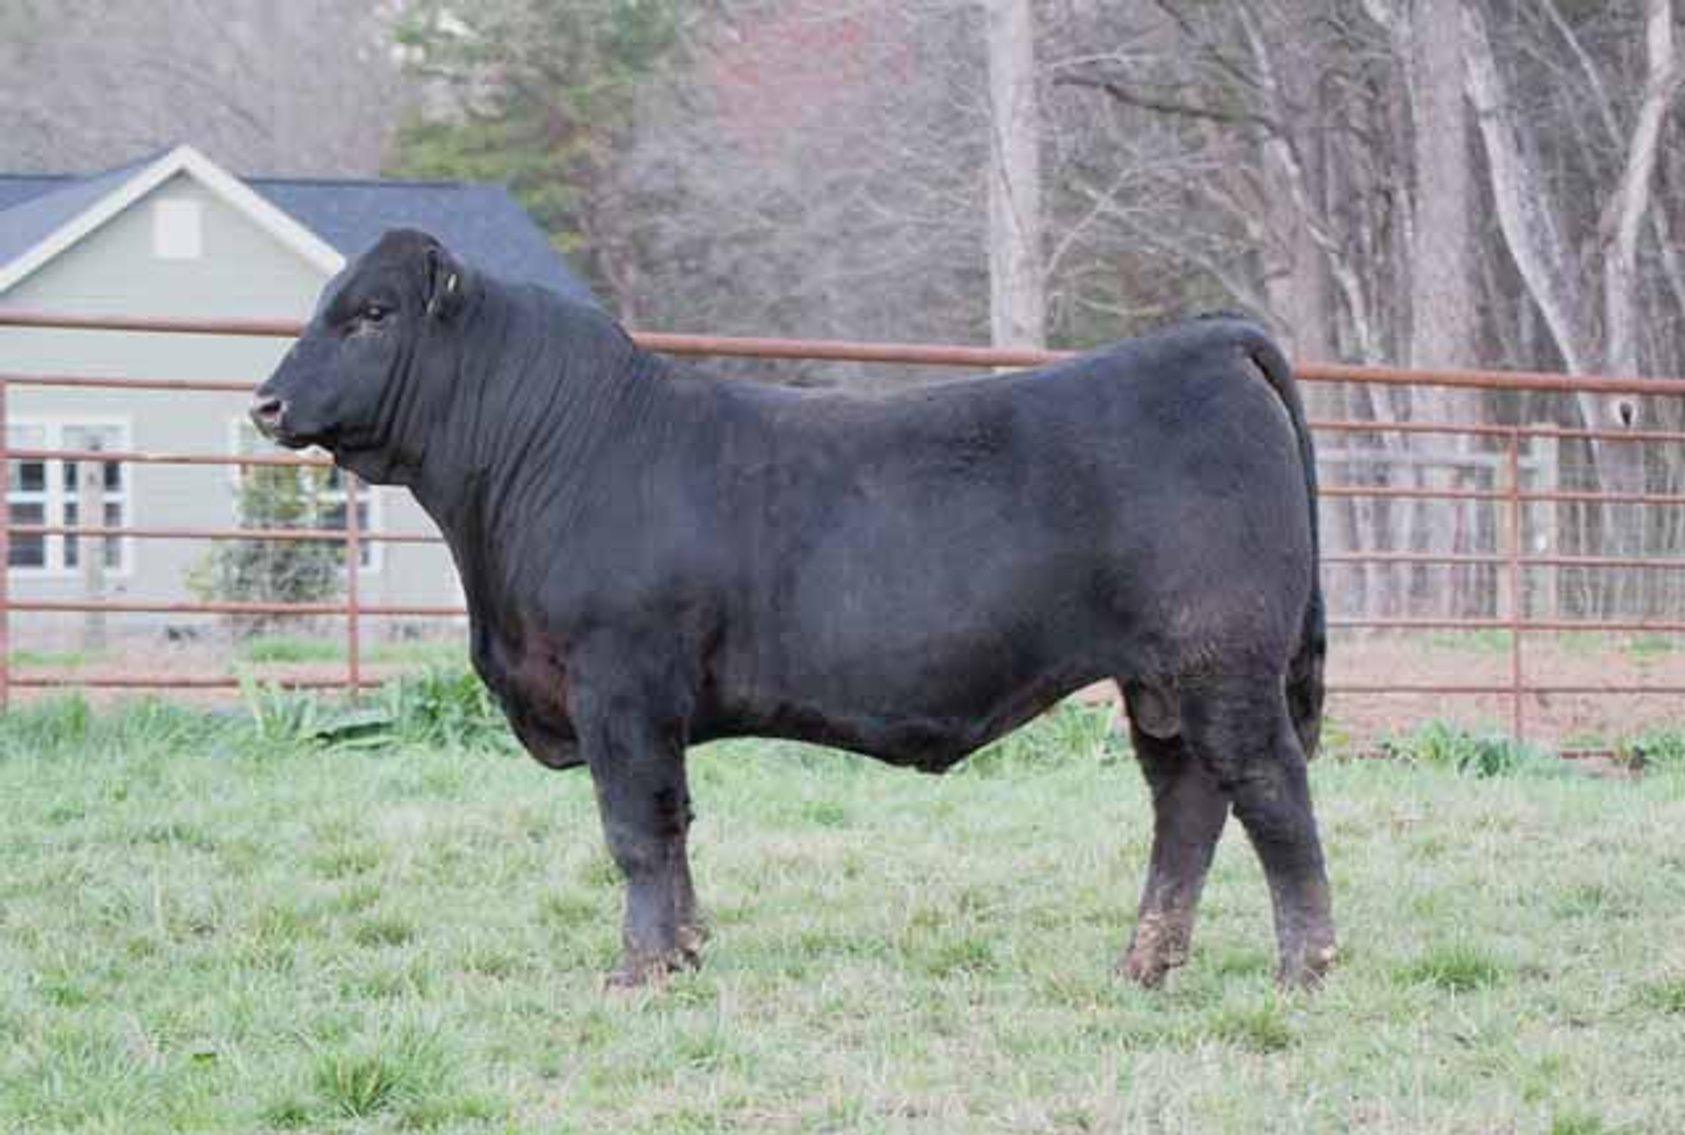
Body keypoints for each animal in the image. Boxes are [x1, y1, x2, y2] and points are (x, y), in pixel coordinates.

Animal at [252, 229, 1336, 989]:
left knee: (1270, 793)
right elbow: (674, 825)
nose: (265, 402)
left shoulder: (620, 683)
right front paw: (685, 948)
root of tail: (1208, 340)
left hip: (1220, 662)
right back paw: (1144, 963)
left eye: (372, 313)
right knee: (1187, 806)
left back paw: (1303, 968)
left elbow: (635, 828)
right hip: (1158, 682)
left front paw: (639, 968)